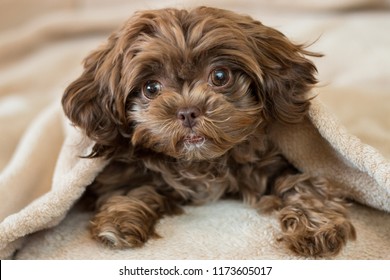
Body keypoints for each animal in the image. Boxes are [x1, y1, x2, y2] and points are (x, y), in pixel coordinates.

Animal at [61, 6, 356, 258]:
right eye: (151, 88)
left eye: (220, 76)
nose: (188, 111)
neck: (201, 163)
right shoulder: (121, 171)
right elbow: (130, 190)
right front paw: (119, 223)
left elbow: (305, 185)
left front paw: (316, 227)